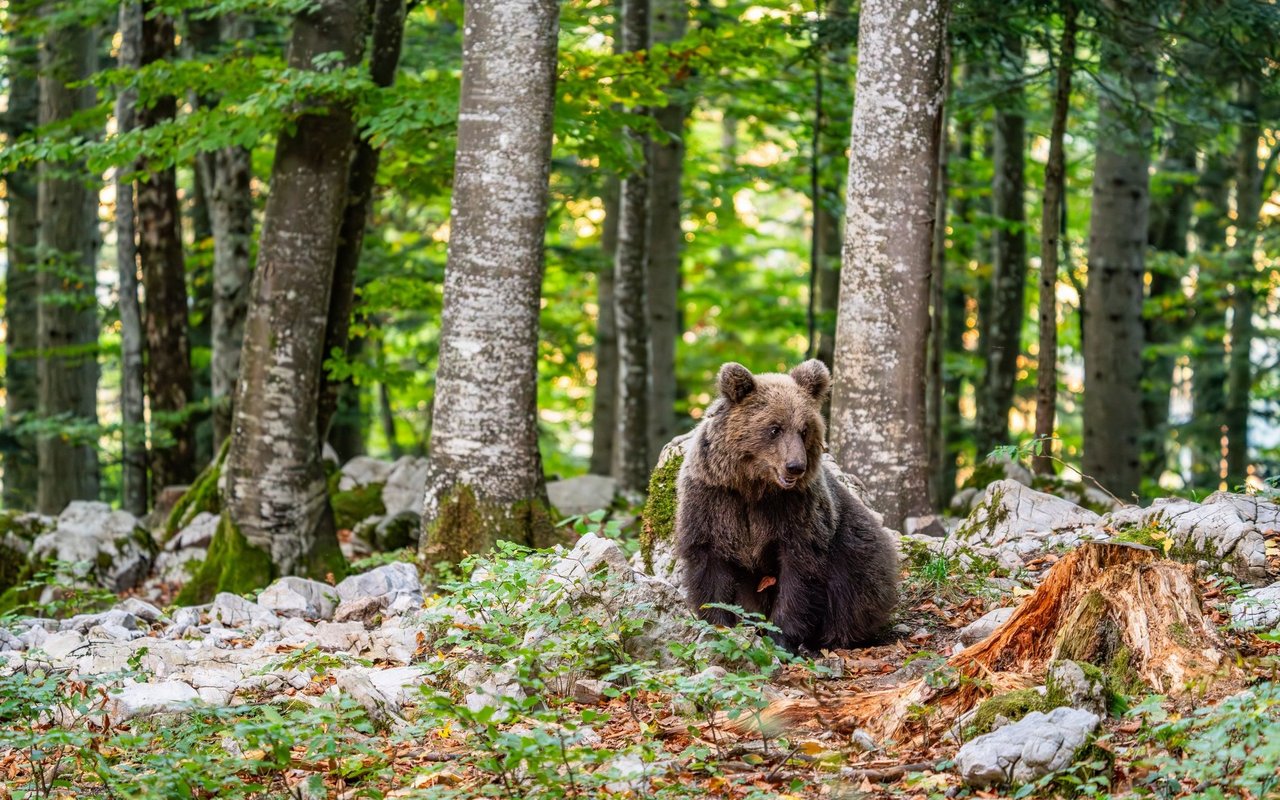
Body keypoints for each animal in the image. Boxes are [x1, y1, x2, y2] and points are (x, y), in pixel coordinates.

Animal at [674, 359, 899, 652]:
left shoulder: (795, 512)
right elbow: (710, 569)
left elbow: (799, 575)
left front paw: (781, 638)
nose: (795, 466)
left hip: (858, 552)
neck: (753, 487)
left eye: (804, 430)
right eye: (774, 428)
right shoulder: (713, 502)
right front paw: (718, 627)